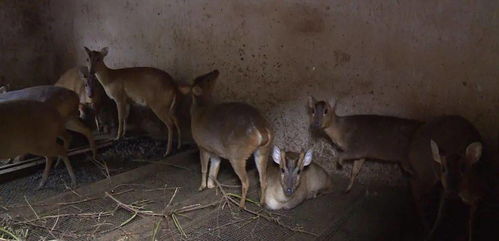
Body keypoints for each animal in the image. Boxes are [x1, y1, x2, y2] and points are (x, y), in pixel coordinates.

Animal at [180, 69, 274, 207]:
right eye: (205, 78)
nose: (216, 70)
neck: (199, 110)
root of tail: (261, 130)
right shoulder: (215, 150)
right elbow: (215, 168)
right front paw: (211, 185)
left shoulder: (202, 145)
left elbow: (204, 168)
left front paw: (202, 187)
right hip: (263, 150)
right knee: (263, 179)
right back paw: (260, 203)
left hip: (237, 154)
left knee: (246, 181)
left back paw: (241, 205)